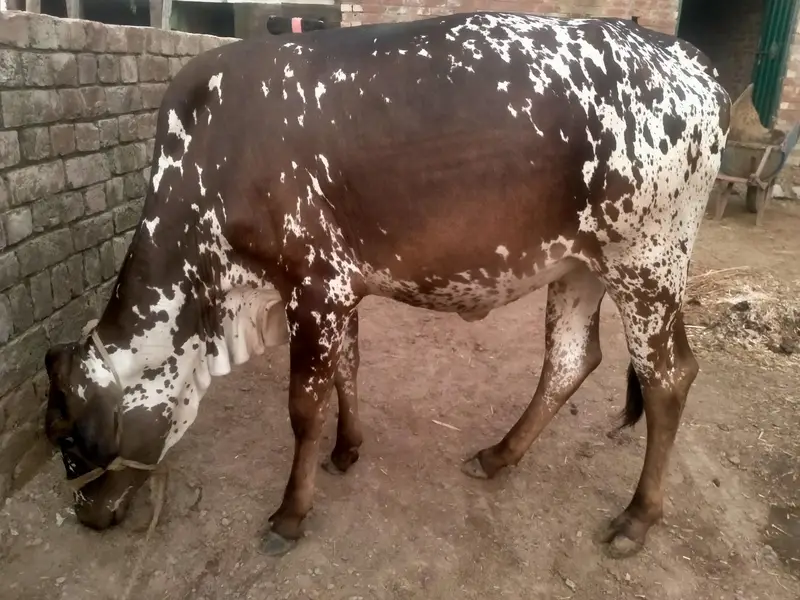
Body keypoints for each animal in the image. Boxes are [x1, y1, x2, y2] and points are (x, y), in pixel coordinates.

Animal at [43, 11, 730, 559]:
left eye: (71, 444)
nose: (86, 511)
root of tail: (685, 56)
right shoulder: (339, 290)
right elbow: (347, 371)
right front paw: (347, 449)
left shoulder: (312, 289)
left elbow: (303, 409)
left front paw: (290, 514)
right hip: (582, 266)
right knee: (570, 361)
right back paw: (496, 456)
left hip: (647, 262)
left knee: (668, 378)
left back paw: (636, 518)